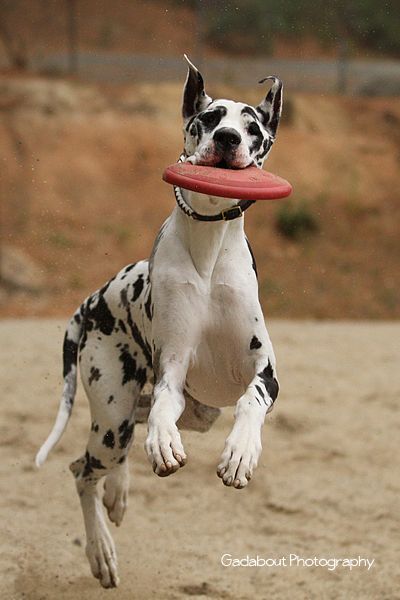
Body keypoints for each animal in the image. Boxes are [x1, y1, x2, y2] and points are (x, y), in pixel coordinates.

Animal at [36, 54, 282, 588]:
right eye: (208, 118)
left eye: (253, 128)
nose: (227, 138)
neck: (208, 252)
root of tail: (91, 300)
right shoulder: (172, 367)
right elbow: (164, 411)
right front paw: (165, 444)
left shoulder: (266, 372)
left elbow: (250, 401)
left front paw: (241, 453)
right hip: (112, 414)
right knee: (85, 467)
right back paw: (101, 549)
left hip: (193, 414)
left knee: (127, 429)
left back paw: (118, 490)